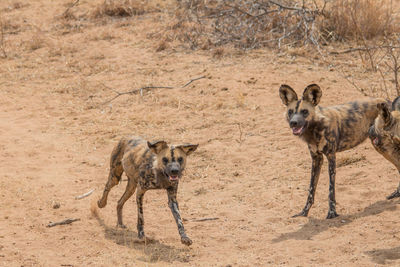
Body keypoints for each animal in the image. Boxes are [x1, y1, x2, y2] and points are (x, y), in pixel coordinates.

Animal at [278, 84, 384, 220]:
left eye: (305, 111)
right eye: (290, 112)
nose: (293, 123)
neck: (315, 130)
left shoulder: (331, 157)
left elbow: (331, 190)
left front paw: (332, 212)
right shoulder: (316, 159)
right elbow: (311, 190)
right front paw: (304, 212)